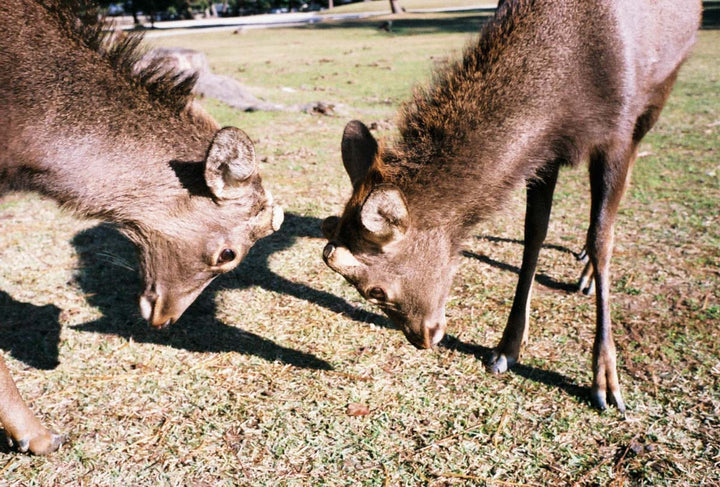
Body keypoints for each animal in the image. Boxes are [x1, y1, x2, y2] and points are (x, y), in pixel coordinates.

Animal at [324, 0, 700, 414]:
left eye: (375, 290)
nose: (422, 337)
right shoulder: (544, 154)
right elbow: (534, 233)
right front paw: (507, 347)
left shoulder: (615, 134)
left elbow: (603, 238)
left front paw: (605, 378)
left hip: (660, 90)